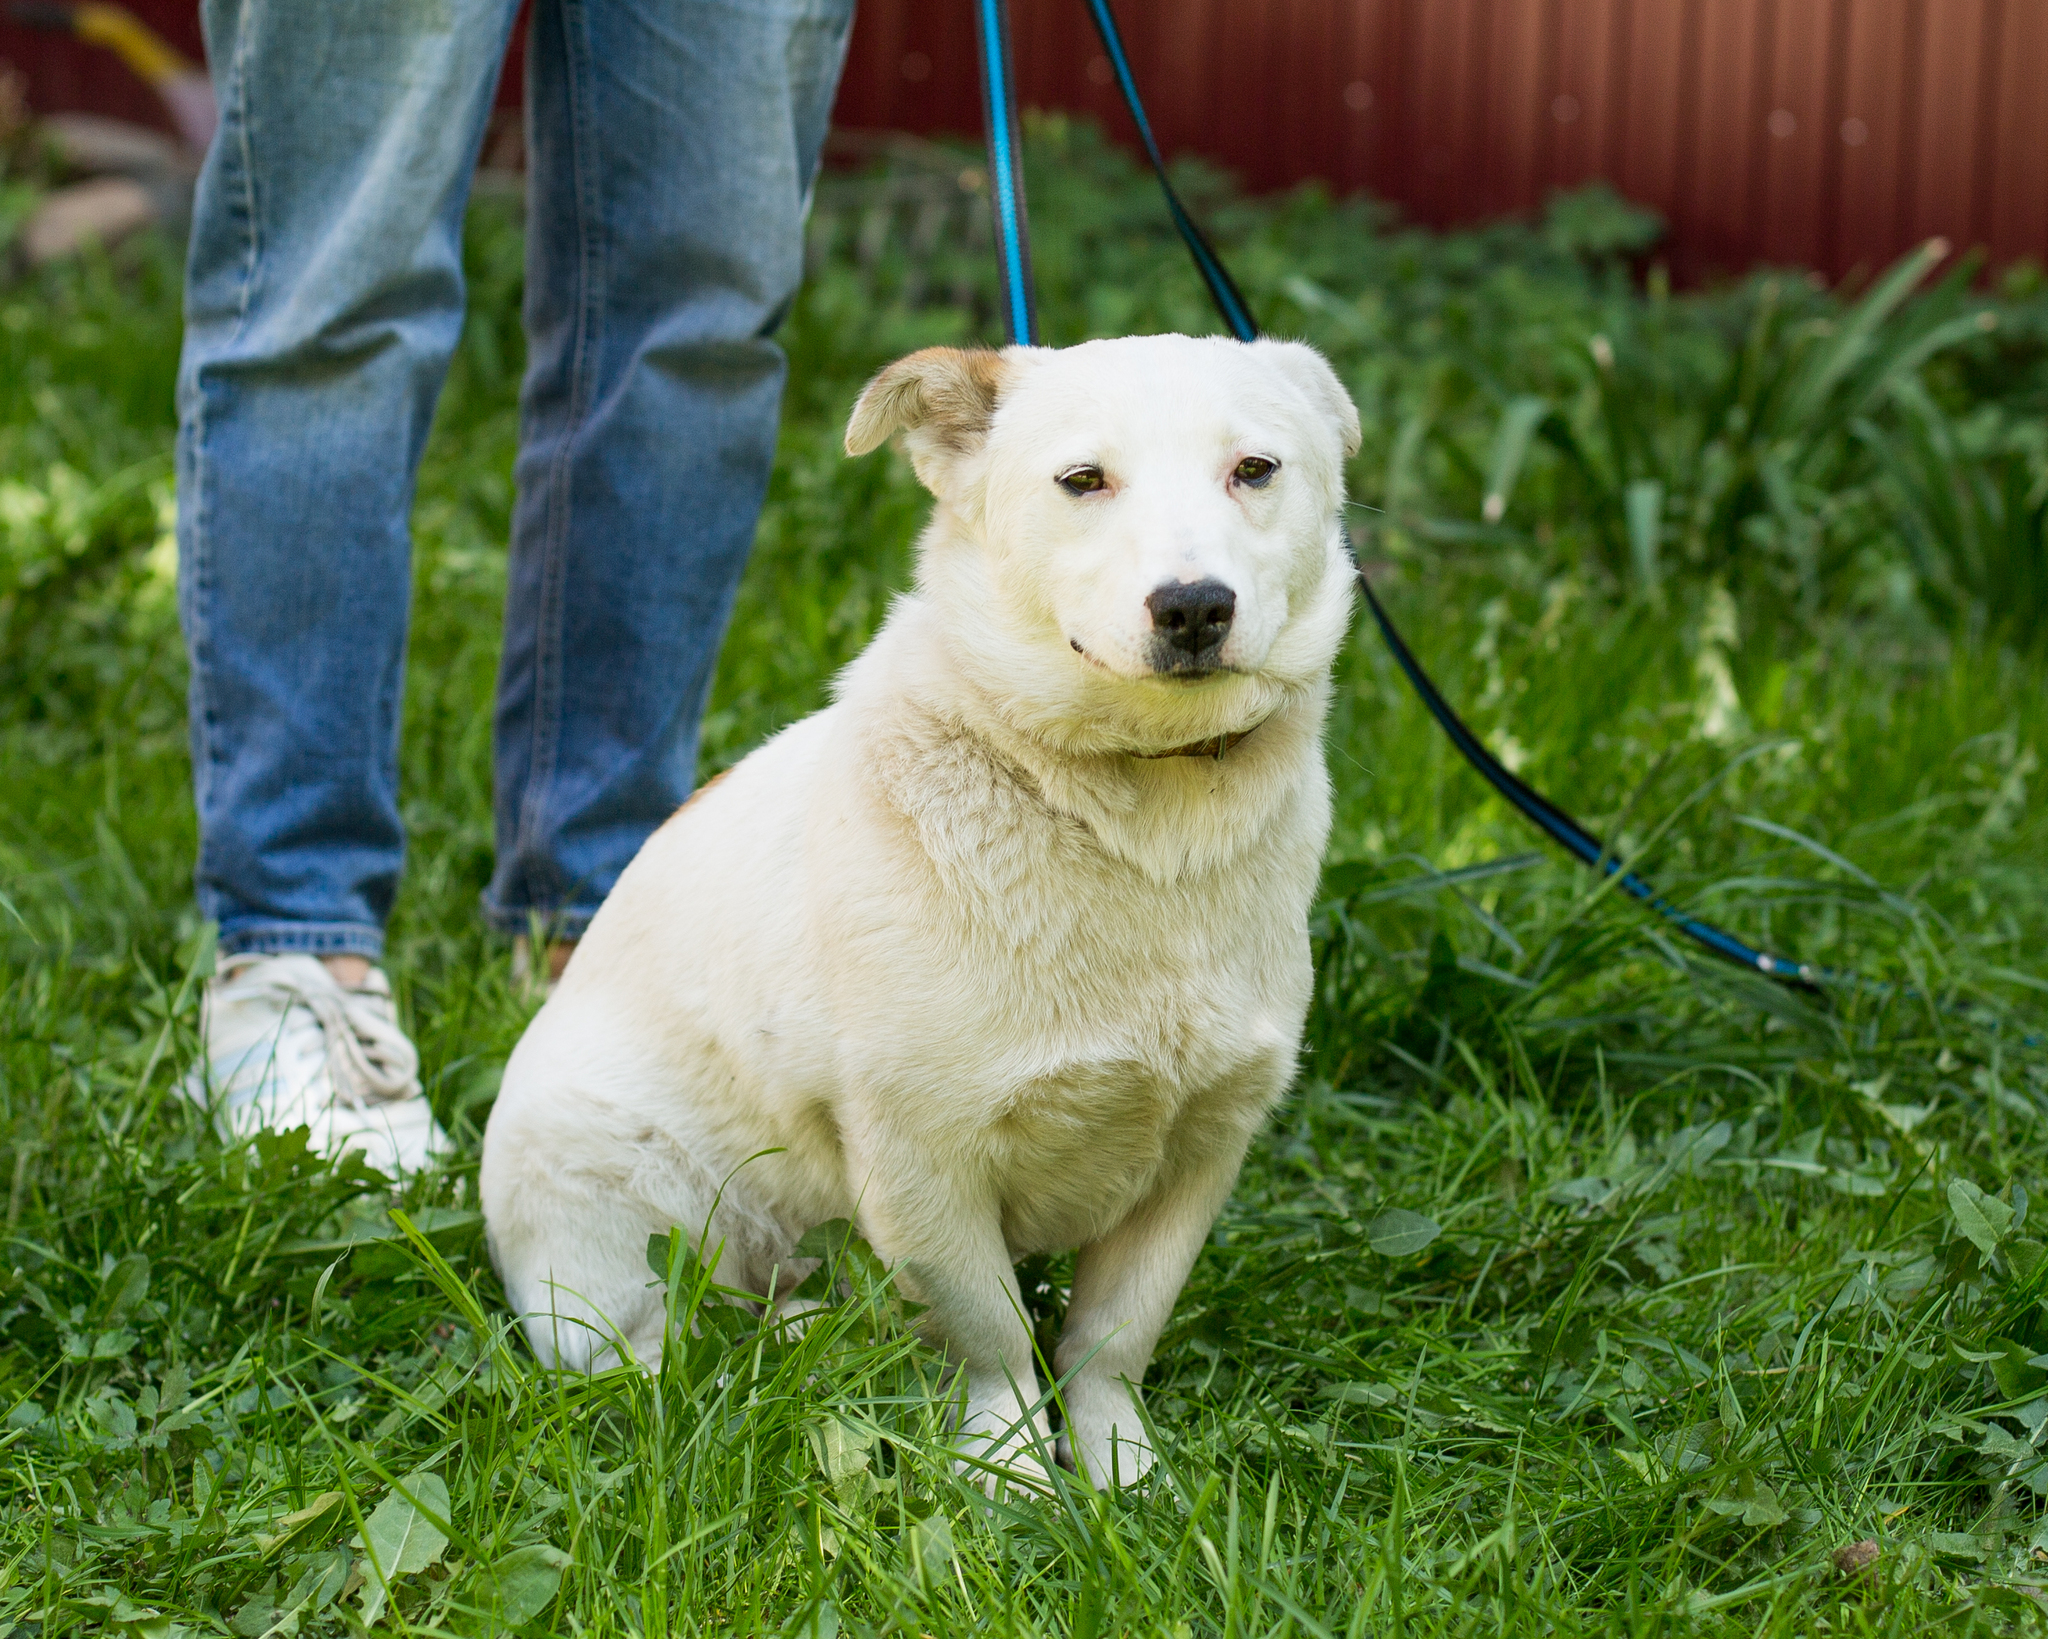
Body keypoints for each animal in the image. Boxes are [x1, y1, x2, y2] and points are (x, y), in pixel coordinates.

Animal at [479, 331, 1359, 1483]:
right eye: (1082, 480)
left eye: (1254, 470)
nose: (1193, 607)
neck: (1140, 813)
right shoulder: (920, 1162)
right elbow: (991, 1342)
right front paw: (1015, 1476)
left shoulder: (1201, 1149)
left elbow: (1110, 1340)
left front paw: (1121, 1472)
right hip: (622, 1234)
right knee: (672, 1353)